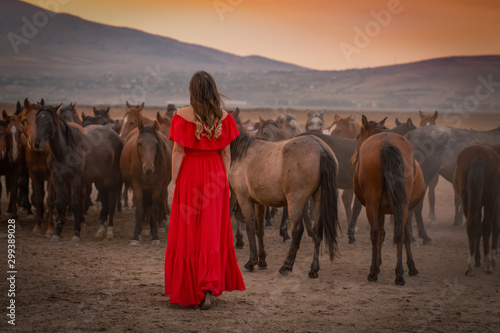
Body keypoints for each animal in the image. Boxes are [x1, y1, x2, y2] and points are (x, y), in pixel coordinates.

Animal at [33, 102, 123, 240]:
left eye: (49, 121)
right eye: (37, 120)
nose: (37, 144)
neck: (65, 152)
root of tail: (116, 136)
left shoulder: (75, 179)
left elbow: (75, 204)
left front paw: (76, 233)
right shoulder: (56, 178)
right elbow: (60, 204)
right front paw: (57, 233)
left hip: (112, 179)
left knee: (111, 203)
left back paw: (109, 232)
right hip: (100, 180)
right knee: (104, 202)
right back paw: (100, 230)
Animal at [229, 132, 340, 278]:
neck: (243, 153)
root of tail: (321, 149)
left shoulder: (244, 199)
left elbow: (250, 228)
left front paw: (251, 262)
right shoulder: (259, 203)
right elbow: (260, 230)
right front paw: (262, 261)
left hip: (295, 201)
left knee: (297, 231)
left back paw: (286, 266)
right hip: (318, 198)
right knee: (317, 232)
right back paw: (313, 269)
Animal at [352, 115, 426, 284]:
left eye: (358, 137)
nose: (353, 158)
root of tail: (386, 144)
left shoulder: (380, 210)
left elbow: (381, 234)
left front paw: (378, 265)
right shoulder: (402, 209)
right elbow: (403, 236)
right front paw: (412, 268)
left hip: (374, 205)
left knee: (376, 233)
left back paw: (375, 272)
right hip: (399, 206)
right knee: (399, 234)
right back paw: (398, 274)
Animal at [454, 144, 500, 274]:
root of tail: (478, 154)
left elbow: (477, 228)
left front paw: (478, 259)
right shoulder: (495, 201)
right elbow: (495, 226)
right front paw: (492, 258)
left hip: (467, 200)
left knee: (472, 226)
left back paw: (470, 265)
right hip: (489, 200)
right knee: (486, 226)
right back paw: (488, 263)